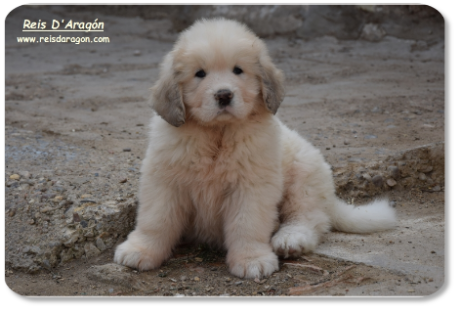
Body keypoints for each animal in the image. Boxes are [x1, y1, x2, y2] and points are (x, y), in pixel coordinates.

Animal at [114, 18, 396, 280]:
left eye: (238, 70)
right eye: (200, 74)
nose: (224, 95)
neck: (217, 134)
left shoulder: (251, 187)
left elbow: (247, 225)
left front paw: (252, 260)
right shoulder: (165, 181)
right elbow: (156, 220)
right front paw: (140, 250)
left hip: (303, 175)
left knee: (309, 217)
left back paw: (290, 239)